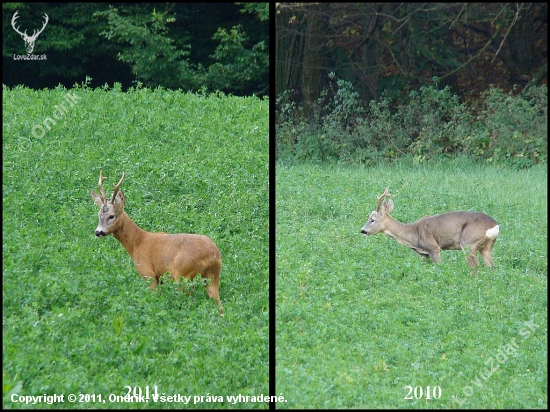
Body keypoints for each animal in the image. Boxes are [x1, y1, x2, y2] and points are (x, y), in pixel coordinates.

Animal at [90, 171, 224, 316]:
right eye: (99, 215)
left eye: (111, 216)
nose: (98, 232)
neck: (137, 243)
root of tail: (213, 254)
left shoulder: (148, 273)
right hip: (212, 275)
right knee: (219, 304)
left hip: (183, 273)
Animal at [362, 188, 500, 276]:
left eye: (372, 219)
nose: (362, 230)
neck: (413, 234)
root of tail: (494, 225)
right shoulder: (425, 254)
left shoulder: (434, 248)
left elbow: (440, 268)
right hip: (486, 247)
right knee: (493, 268)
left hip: (468, 244)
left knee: (475, 269)